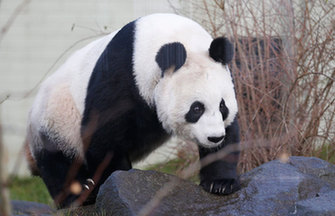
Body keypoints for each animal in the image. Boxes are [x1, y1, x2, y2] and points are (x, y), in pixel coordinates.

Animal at [26, 13, 242, 208]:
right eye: (196, 108)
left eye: (222, 106)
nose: (214, 138)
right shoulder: (121, 76)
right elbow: (103, 137)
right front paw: (116, 183)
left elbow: (229, 135)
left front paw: (220, 183)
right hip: (56, 119)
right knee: (57, 161)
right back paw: (79, 194)